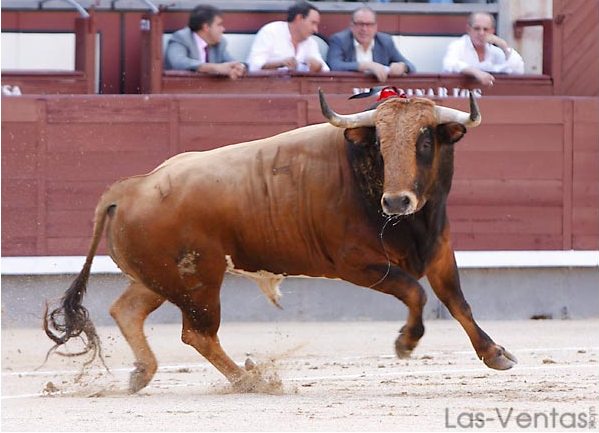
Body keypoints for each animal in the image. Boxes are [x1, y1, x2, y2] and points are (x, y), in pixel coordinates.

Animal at [44, 90, 516, 392]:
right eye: (380, 143)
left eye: (425, 140)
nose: (397, 200)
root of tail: (130, 188)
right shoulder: (355, 264)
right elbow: (415, 292)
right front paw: (406, 342)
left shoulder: (439, 250)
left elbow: (457, 301)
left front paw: (495, 353)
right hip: (199, 281)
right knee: (198, 334)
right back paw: (250, 380)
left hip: (160, 277)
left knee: (127, 309)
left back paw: (143, 373)